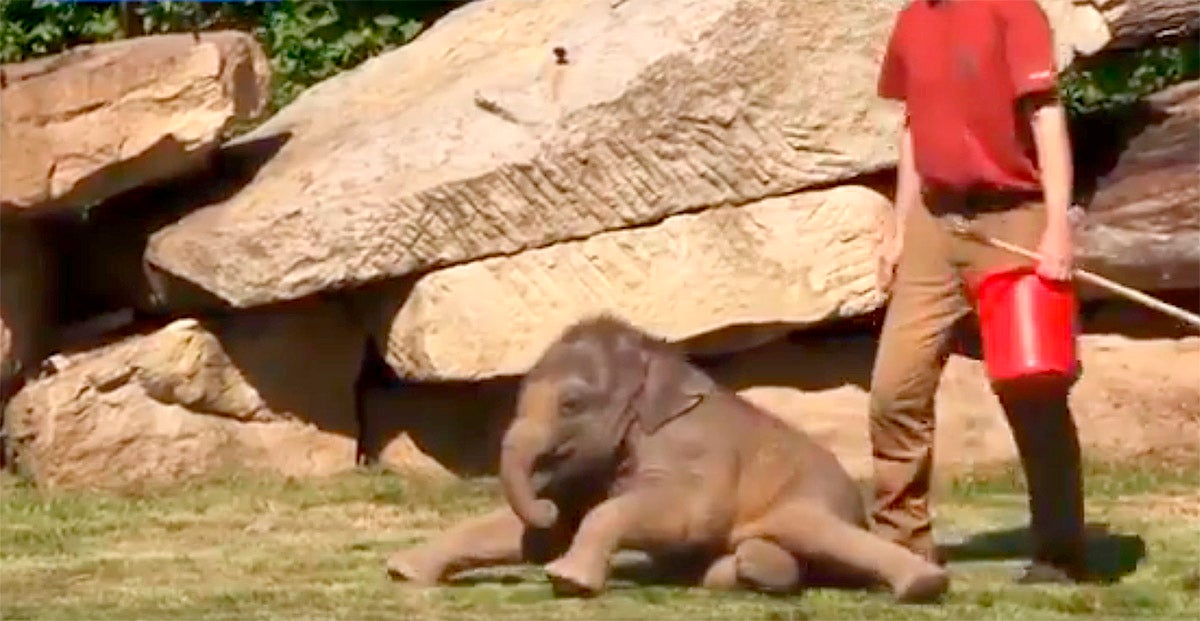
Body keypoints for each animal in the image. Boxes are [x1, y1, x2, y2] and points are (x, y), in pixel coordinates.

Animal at [386, 315, 949, 602]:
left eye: (572, 405)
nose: (541, 500)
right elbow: (540, 532)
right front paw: (403, 570)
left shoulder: (692, 451)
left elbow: (683, 518)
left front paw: (566, 579)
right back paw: (750, 571)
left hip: (815, 496)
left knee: (811, 529)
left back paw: (923, 585)